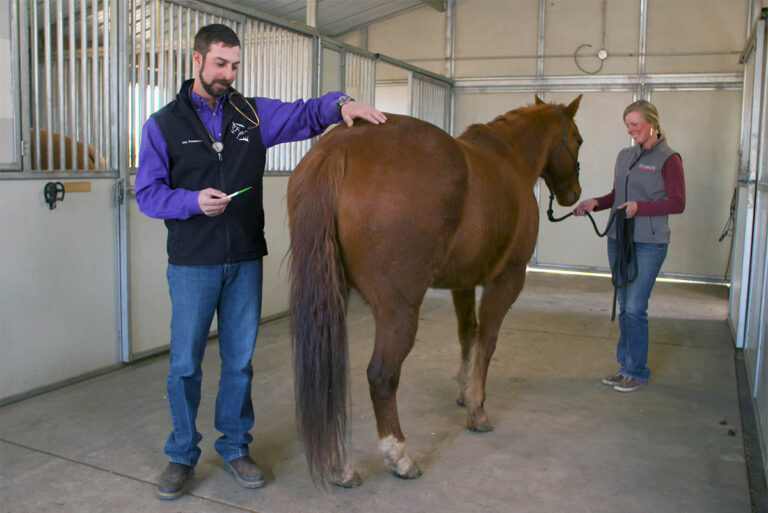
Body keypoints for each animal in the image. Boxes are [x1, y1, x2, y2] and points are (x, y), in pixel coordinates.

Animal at [287, 95, 583, 487]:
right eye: (578, 139)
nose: (574, 194)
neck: (511, 158)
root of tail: (339, 148)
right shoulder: (508, 278)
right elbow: (488, 340)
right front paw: (477, 409)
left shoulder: (463, 281)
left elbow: (468, 334)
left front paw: (462, 391)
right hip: (399, 309)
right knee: (381, 375)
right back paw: (399, 458)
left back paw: (340, 466)